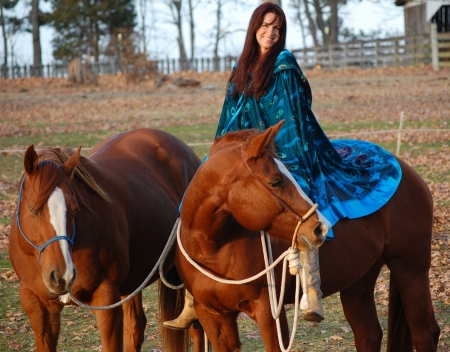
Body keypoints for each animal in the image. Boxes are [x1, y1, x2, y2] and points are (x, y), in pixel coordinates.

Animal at [7, 129, 200, 352]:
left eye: (75, 209)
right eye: (33, 210)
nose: (63, 275)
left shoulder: (106, 299)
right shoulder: (38, 307)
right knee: (136, 327)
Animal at [161, 121, 440, 352]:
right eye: (275, 182)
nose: (320, 228)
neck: (213, 248)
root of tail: (406, 170)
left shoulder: (268, 312)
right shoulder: (212, 316)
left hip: (410, 268)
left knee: (425, 332)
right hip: (359, 279)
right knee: (368, 334)